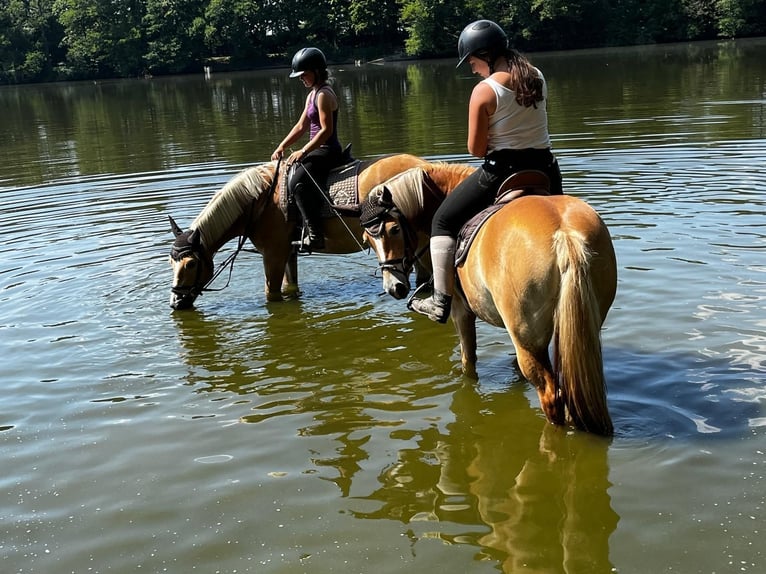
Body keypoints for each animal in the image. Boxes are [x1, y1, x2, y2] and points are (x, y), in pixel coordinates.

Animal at [168, 153, 428, 310]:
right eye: (171, 263)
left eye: (191, 264)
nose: (175, 301)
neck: (259, 202)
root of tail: (425, 167)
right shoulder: (287, 253)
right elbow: (290, 286)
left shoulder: (273, 255)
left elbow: (272, 294)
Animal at [360, 163, 616, 436]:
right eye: (368, 241)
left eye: (394, 230)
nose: (394, 287)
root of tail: (565, 234)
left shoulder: (461, 311)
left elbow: (468, 362)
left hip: (527, 339)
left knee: (551, 395)